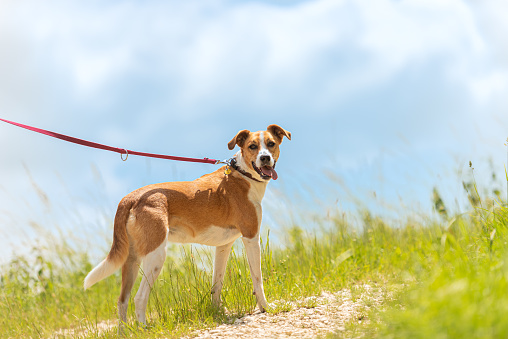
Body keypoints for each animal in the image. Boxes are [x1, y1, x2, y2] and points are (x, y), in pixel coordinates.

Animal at [83, 124, 290, 330]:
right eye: (252, 146)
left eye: (271, 144)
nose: (265, 158)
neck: (244, 174)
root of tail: (130, 198)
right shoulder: (251, 237)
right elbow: (258, 279)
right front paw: (265, 307)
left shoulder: (223, 246)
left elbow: (217, 284)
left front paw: (217, 312)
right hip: (156, 256)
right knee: (139, 298)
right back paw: (144, 329)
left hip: (132, 259)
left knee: (122, 300)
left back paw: (126, 331)